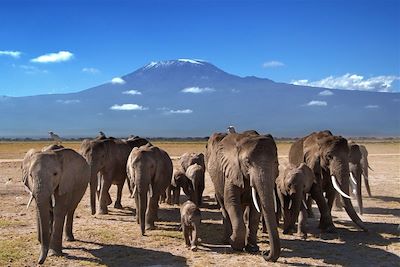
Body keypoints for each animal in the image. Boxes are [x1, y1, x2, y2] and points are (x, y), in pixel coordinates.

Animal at [206, 131, 282, 262]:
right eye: (247, 162)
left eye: (276, 162)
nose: (265, 252)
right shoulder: (231, 171)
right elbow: (231, 203)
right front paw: (234, 244)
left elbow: (256, 210)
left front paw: (252, 248)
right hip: (216, 180)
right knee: (224, 206)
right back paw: (226, 240)